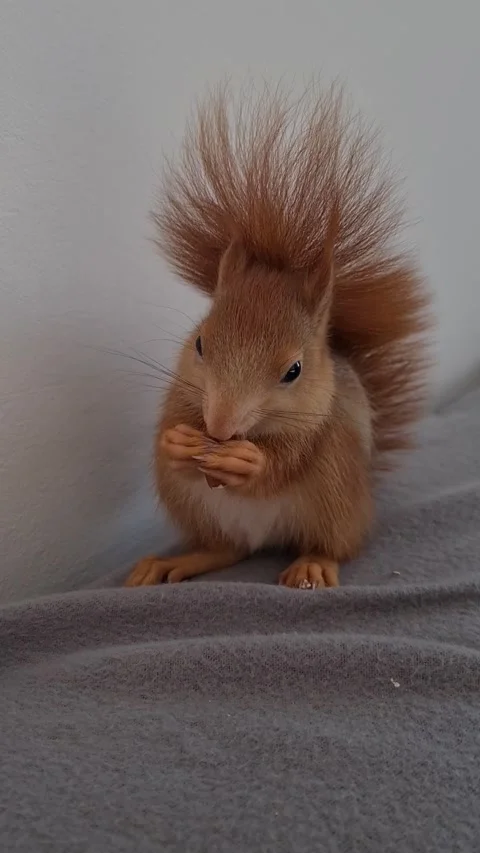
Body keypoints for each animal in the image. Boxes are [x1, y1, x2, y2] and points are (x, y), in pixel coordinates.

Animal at [125, 82, 430, 590]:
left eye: (294, 370)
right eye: (200, 344)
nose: (219, 429)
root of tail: (266, 537)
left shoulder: (316, 427)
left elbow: (285, 461)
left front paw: (250, 462)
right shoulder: (182, 396)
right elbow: (171, 426)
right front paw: (178, 443)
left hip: (337, 495)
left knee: (334, 544)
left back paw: (313, 565)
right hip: (192, 505)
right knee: (225, 549)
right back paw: (175, 562)